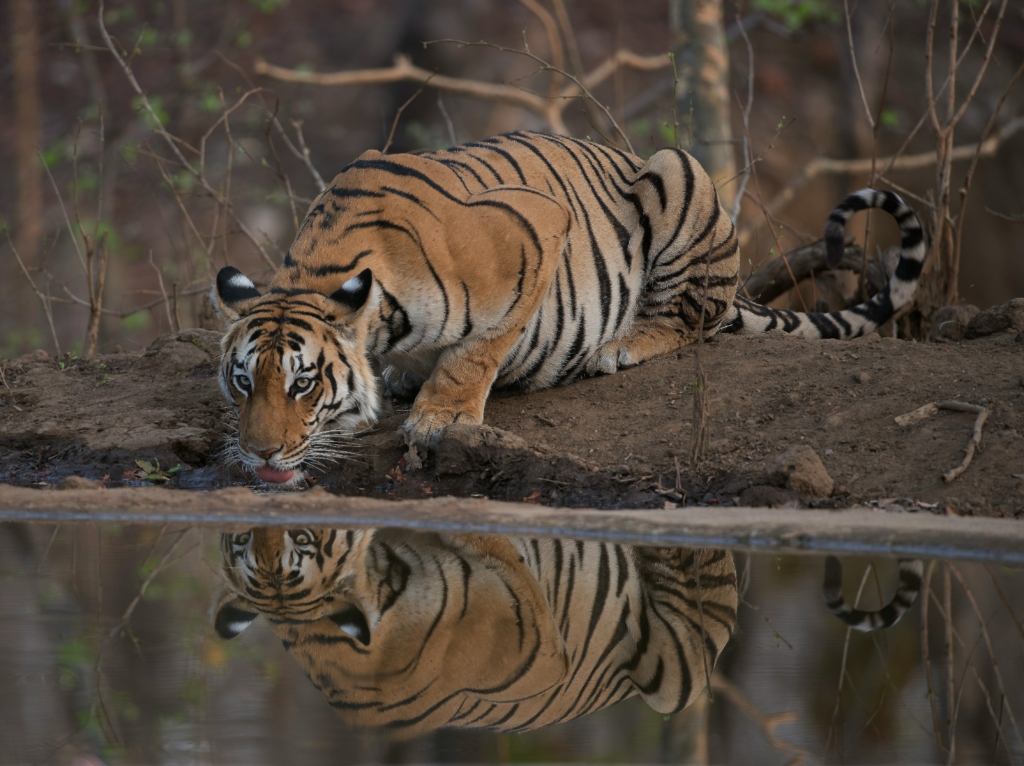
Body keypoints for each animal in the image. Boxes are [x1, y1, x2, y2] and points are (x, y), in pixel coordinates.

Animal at [214, 129, 929, 481]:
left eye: (304, 383)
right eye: (243, 382)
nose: (260, 455)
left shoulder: (534, 229)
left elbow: (478, 351)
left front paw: (440, 417)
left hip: (677, 172)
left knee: (692, 319)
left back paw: (622, 345)